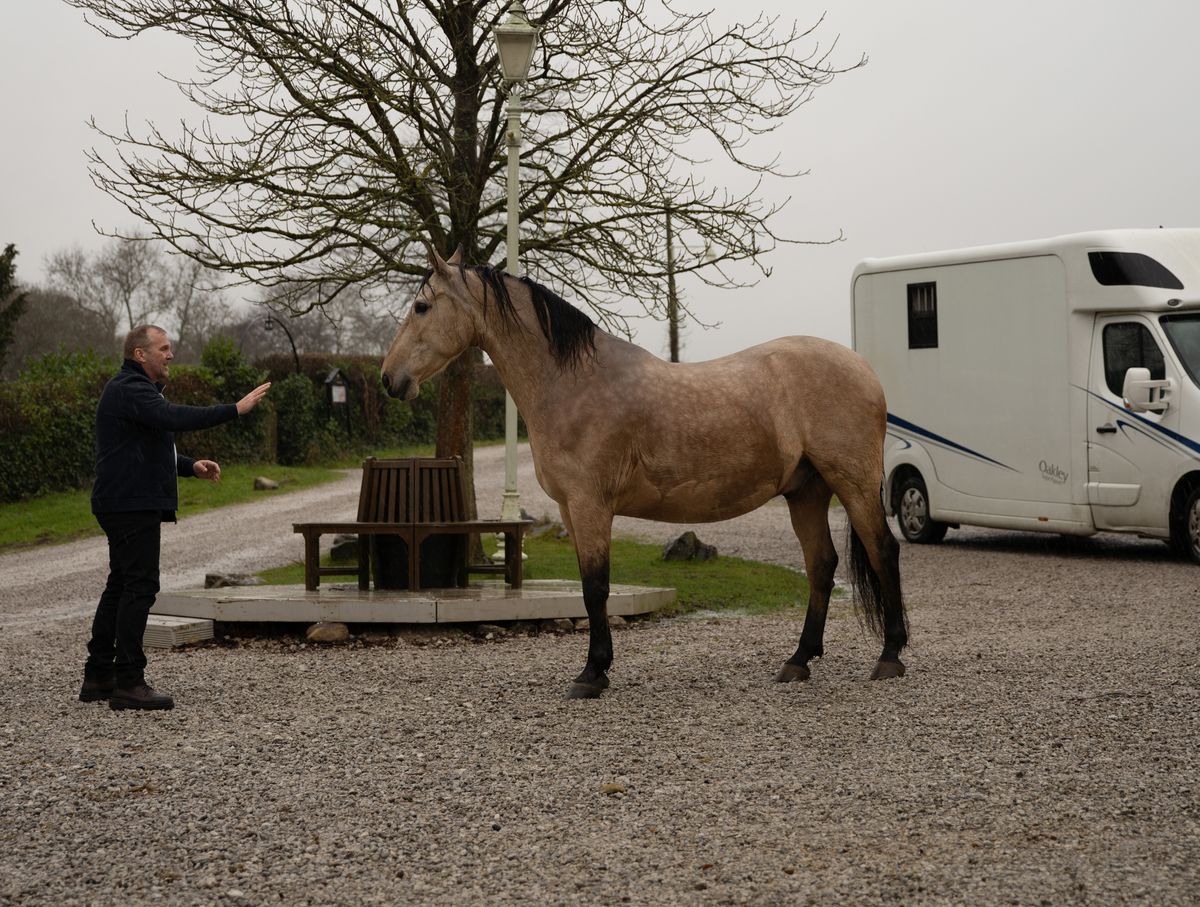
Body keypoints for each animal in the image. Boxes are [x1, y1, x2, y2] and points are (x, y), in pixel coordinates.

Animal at [384, 248, 907, 700]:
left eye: (422, 306)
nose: (389, 379)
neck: (572, 383)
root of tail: (864, 369)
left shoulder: (590, 507)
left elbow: (596, 587)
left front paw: (592, 674)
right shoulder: (570, 511)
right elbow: (588, 587)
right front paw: (597, 668)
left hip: (853, 482)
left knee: (883, 551)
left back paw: (890, 656)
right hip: (807, 492)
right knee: (822, 565)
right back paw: (798, 661)